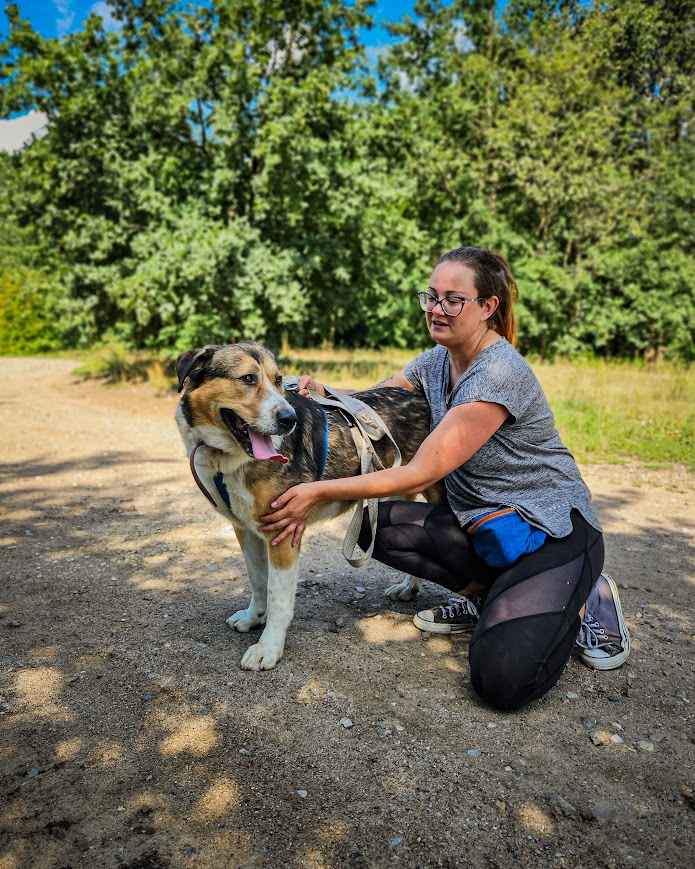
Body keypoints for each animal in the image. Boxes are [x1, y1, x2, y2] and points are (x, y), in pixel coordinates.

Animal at [177, 340, 444, 672]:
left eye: (278, 380)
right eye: (248, 379)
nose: (288, 419)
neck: (229, 460)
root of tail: (422, 397)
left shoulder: (283, 531)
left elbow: (278, 597)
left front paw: (269, 647)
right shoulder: (245, 529)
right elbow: (258, 581)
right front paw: (254, 617)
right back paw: (408, 588)